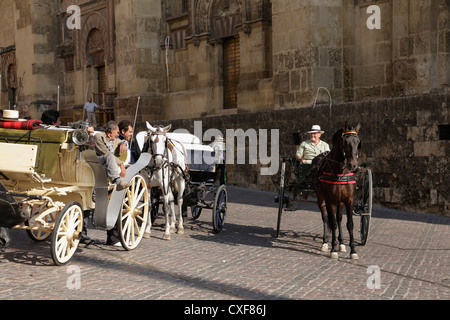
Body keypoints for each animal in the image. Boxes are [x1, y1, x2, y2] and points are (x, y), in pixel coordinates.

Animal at [312, 122, 360, 260]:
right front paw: (333, 249)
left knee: (339, 218)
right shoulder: (331, 201)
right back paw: (325, 243)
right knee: (325, 217)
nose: (353, 165)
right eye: (345, 142)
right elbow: (332, 223)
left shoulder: (349, 200)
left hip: (341, 202)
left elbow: (349, 224)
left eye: (358, 141)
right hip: (321, 198)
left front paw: (353, 250)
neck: (339, 170)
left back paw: (342, 244)